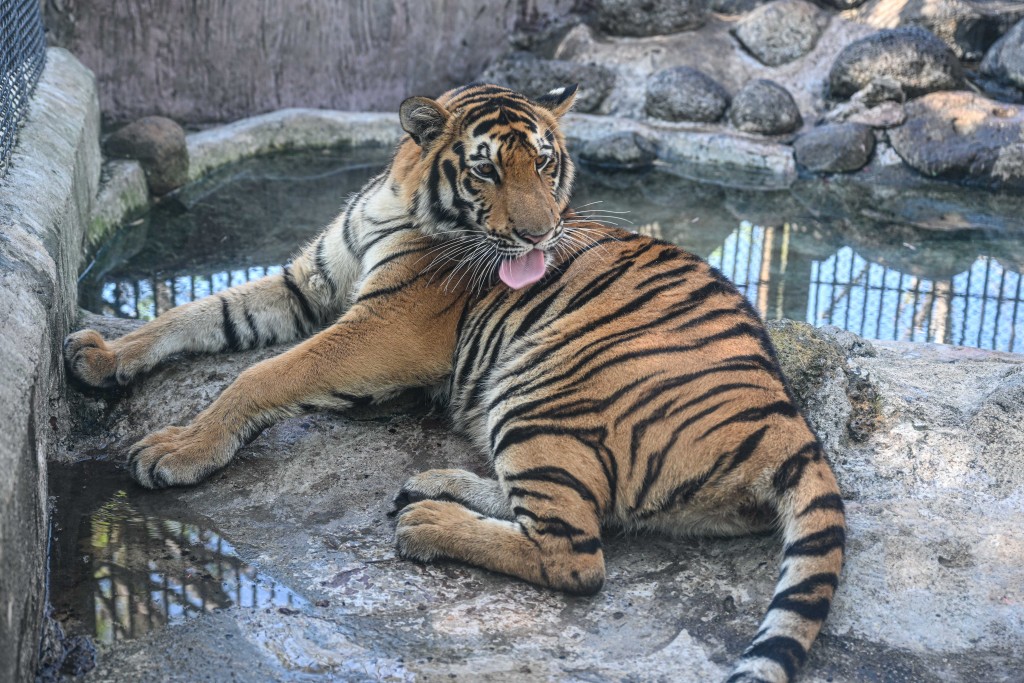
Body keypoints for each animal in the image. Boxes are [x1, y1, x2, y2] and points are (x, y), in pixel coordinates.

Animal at [68, 82, 843, 679]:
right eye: (487, 173)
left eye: (545, 163)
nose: (539, 236)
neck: (392, 201)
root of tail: (790, 423)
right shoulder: (305, 285)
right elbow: (196, 313)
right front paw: (101, 354)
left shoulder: (385, 328)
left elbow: (265, 373)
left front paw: (178, 449)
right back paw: (431, 487)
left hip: (541, 387)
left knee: (576, 555)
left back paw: (427, 522)